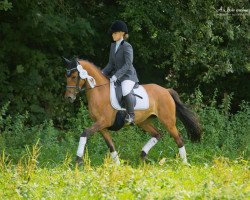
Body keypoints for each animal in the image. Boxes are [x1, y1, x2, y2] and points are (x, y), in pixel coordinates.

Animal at [63, 57, 202, 165]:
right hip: (144, 121)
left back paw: (184, 163)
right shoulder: (102, 127)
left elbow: (85, 133)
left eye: (74, 76)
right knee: (158, 134)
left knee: (178, 139)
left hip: (168, 121)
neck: (99, 91)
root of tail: (166, 90)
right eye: (66, 77)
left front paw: (78, 159)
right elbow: (111, 145)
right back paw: (143, 156)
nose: (68, 98)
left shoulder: (103, 122)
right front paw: (118, 165)